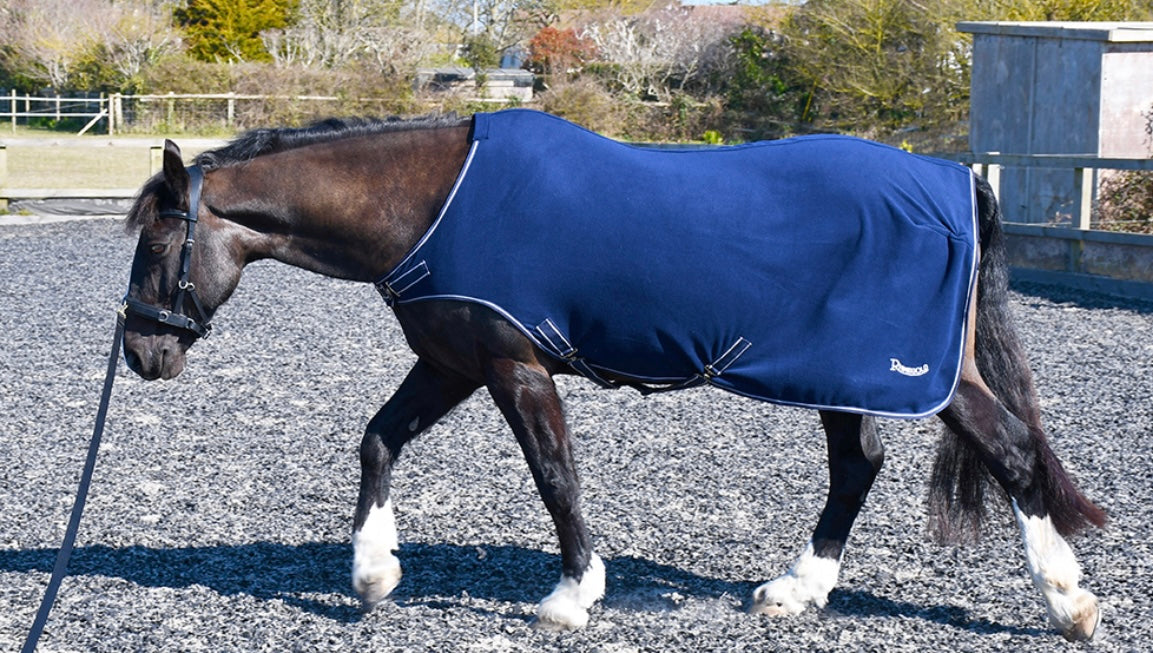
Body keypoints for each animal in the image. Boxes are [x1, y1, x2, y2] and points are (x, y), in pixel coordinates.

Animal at [120, 109, 1106, 641]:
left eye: (158, 244)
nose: (141, 352)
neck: (431, 202)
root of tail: (951, 179)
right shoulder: (450, 360)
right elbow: (376, 441)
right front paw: (371, 573)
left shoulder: (513, 365)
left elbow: (555, 475)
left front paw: (570, 595)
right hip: (843, 377)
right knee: (858, 466)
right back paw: (797, 589)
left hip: (907, 374)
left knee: (1010, 454)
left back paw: (1066, 600)